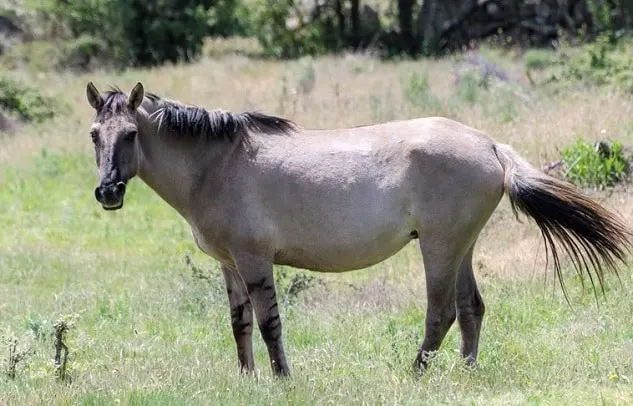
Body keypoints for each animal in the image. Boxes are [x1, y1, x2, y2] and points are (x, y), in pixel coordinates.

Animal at [85, 81, 632, 378]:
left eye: (130, 134)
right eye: (94, 134)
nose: (108, 192)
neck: (217, 164)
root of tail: (491, 145)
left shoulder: (254, 259)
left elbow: (269, 324)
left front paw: (282, 379)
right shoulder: (229, 265)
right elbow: (239, 325)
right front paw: (246, 378)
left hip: (439, 247)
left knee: (441, 313)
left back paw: (416, 374)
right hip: (461, 247)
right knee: (471, 308)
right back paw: (466, 371)